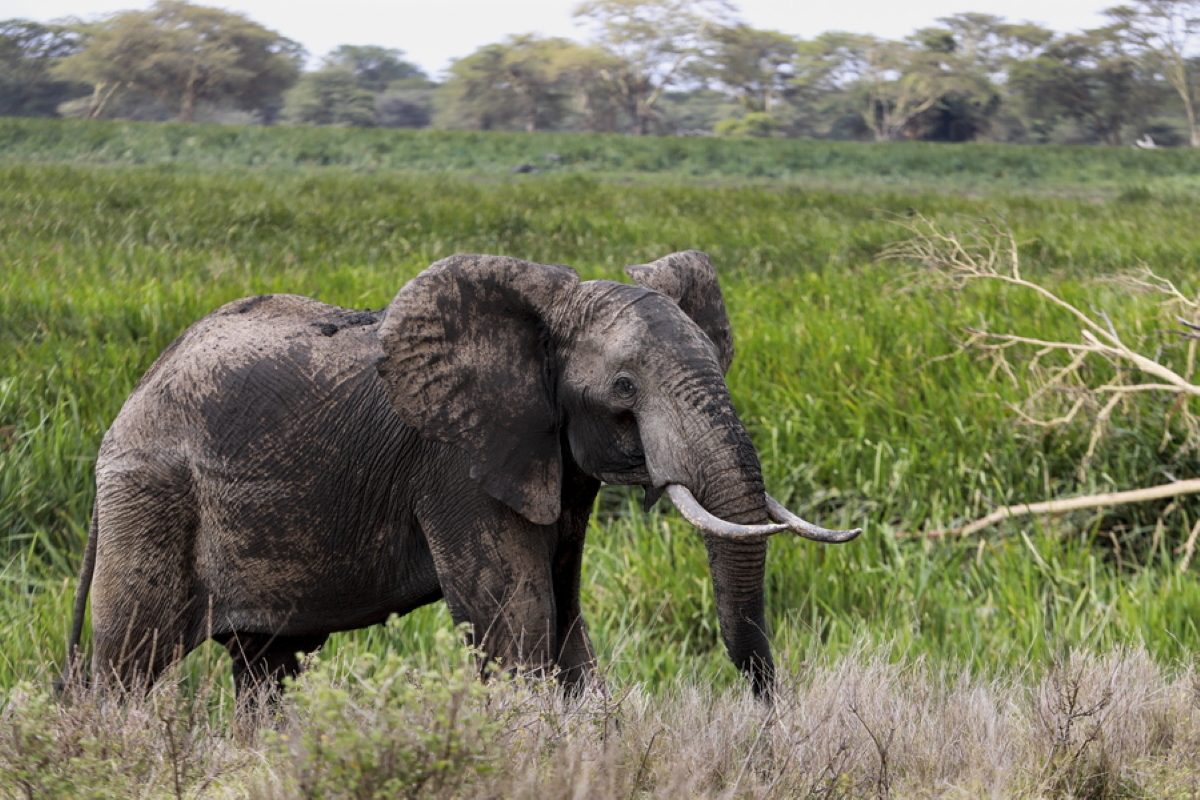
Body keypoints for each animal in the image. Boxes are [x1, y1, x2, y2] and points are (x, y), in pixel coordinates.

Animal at [60, 250, 859, 705]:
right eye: (625, 389)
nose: (767, 711)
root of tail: (131, 399)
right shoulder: (455, 466)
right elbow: (517, 622)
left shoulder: (549, 455)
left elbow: (564, 621)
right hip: (151, 495)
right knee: (130, 661)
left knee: (268, 668)